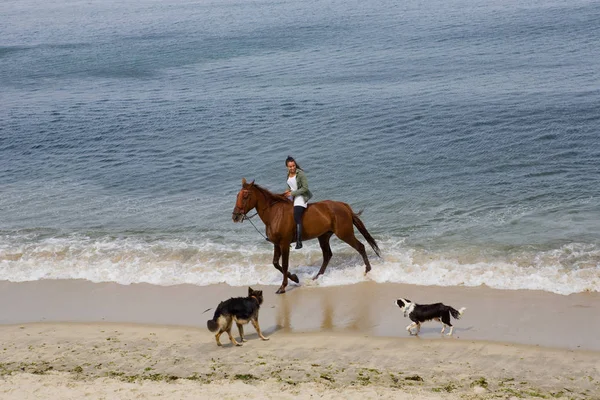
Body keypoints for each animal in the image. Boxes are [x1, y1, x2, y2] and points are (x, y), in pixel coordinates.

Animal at [231, 178, 380, 294]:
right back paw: (316, 278)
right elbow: (275, 263)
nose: (235, 216)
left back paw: (367, 271)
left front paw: (283, 287)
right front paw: (295, 278)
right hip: (323, 236)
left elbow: (284, 264)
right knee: (327, 255)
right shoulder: (276, 244)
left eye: (246, 196)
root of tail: (344, 206)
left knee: (360, 247)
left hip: (345, 234)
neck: (274, 214)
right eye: (237, 195)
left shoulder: (284, 243)